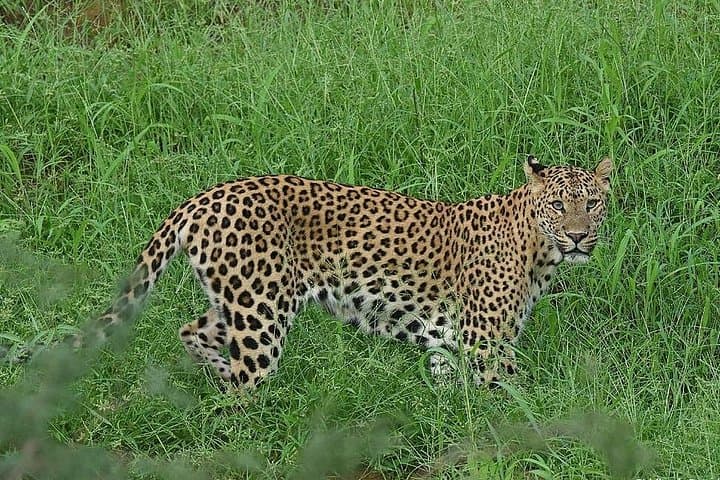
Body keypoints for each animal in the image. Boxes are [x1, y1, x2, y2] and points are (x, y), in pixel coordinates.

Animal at [93, 156, 613, 388]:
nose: (578, 237)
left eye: (591, 203)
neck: (539, 252)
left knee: (191, 331)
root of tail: (202, 198)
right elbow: (505, 400)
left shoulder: (451, 343)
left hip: (243, 300)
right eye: (558, 206)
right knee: (244, 388)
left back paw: (219, 374)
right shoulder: (486, 343)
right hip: (261, 313)